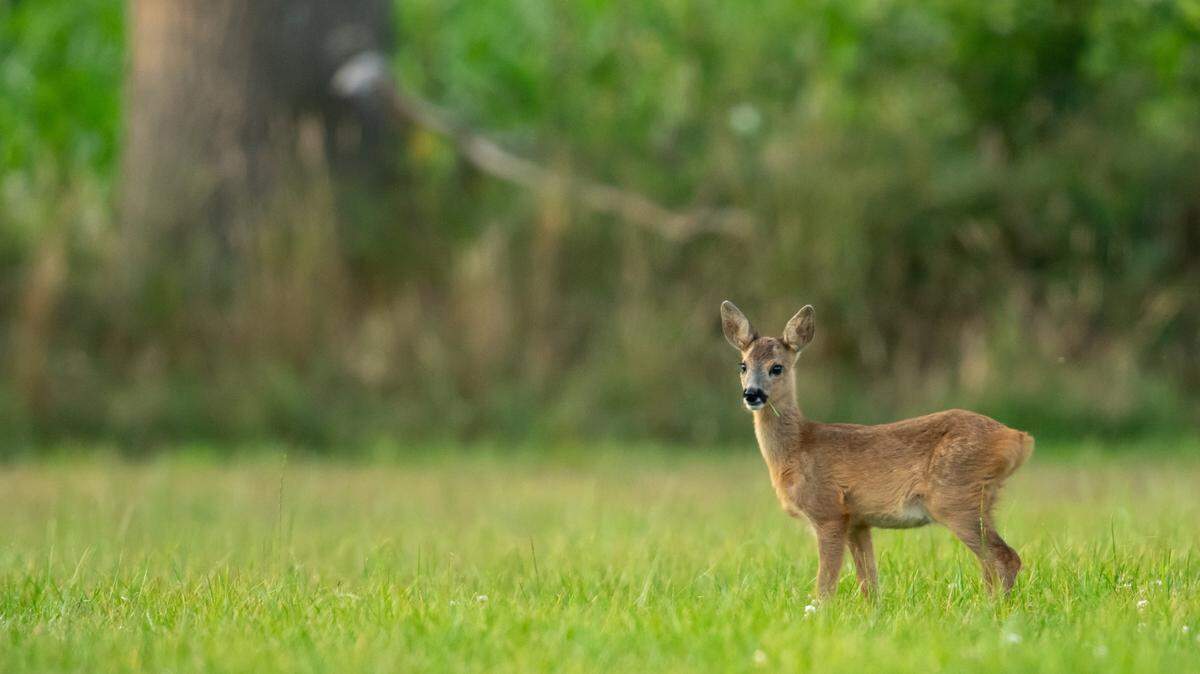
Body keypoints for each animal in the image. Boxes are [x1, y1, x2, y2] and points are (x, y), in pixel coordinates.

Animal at [720, 301, 1033, 599]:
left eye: (777, 367)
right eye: (742, 366)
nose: (752, 394)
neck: (798, 447)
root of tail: (1019, 438)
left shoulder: (829, 511)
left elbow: (825, 586)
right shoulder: (858, 522)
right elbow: (870, 586)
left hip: (956, 497)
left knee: (1005, 558)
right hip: (980, 500)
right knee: (990, 565)